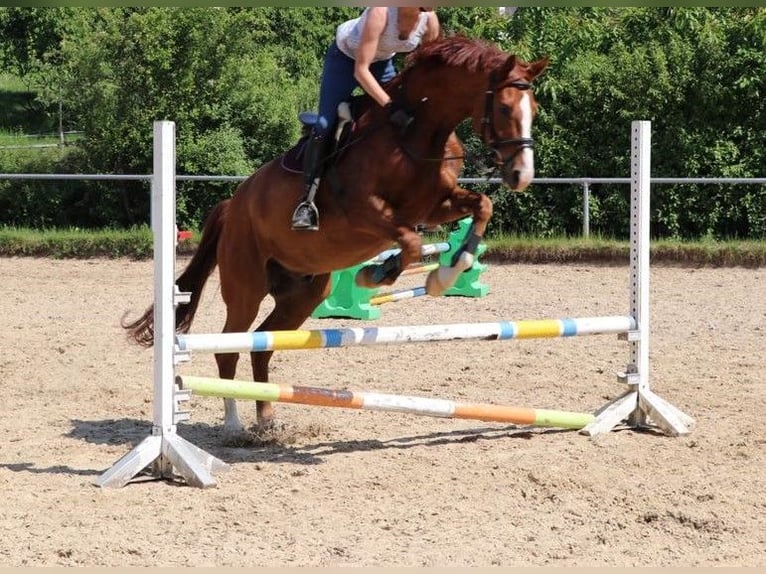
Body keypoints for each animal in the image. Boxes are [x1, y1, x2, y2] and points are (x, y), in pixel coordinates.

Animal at [124, 33, 544, 434]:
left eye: (535, 110)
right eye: (504, 108)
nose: (521, 175)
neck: (418, 132)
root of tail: (233, 205)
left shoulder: (433, 206)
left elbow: (481, 206)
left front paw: (450, 270)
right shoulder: (364, 210)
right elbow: (409, 241)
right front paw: (377, 274)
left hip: (302, 296)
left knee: (262, 346)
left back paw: (267, 419)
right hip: (246, 287)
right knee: (229, 347)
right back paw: (233, 423)